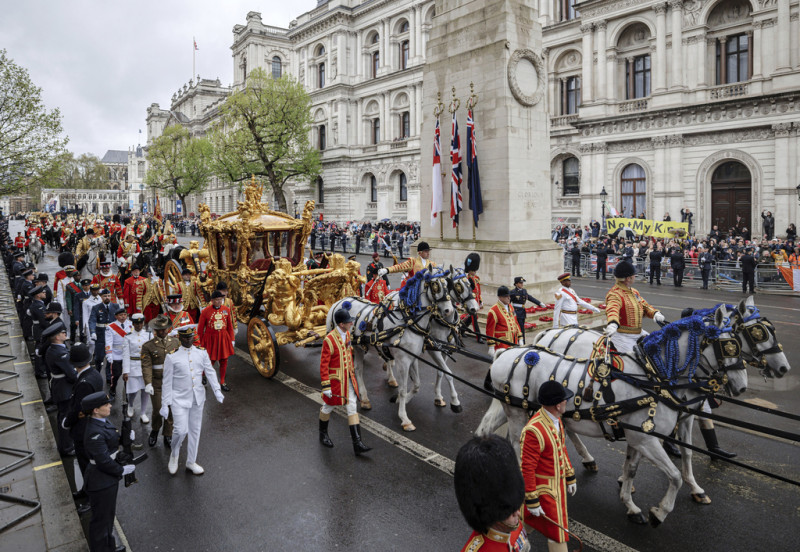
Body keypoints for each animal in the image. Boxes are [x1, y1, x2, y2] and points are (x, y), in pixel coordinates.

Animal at [326, 268, 456, 432]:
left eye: (448, 285)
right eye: (435, 285)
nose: (448, 310)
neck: (407, 321)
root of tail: (338, 302)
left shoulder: (413, 358)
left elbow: (417, 384)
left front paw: (400, 400)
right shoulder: (402, 361)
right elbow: (403, 388)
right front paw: (404, 418)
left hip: (358, 348)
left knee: (358, 370)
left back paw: (364, 399)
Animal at [478, 306, 748, 528]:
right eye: (728, 345)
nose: (741, 386)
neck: (651, 379)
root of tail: (507, 353)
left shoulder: (638, 438)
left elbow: (632, 470)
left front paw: (630, 505)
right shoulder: (646, 440)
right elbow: (675, 476)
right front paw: (659, 513)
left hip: (520, 410)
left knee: (489, 430)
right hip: (517, 413)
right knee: (516, 445)